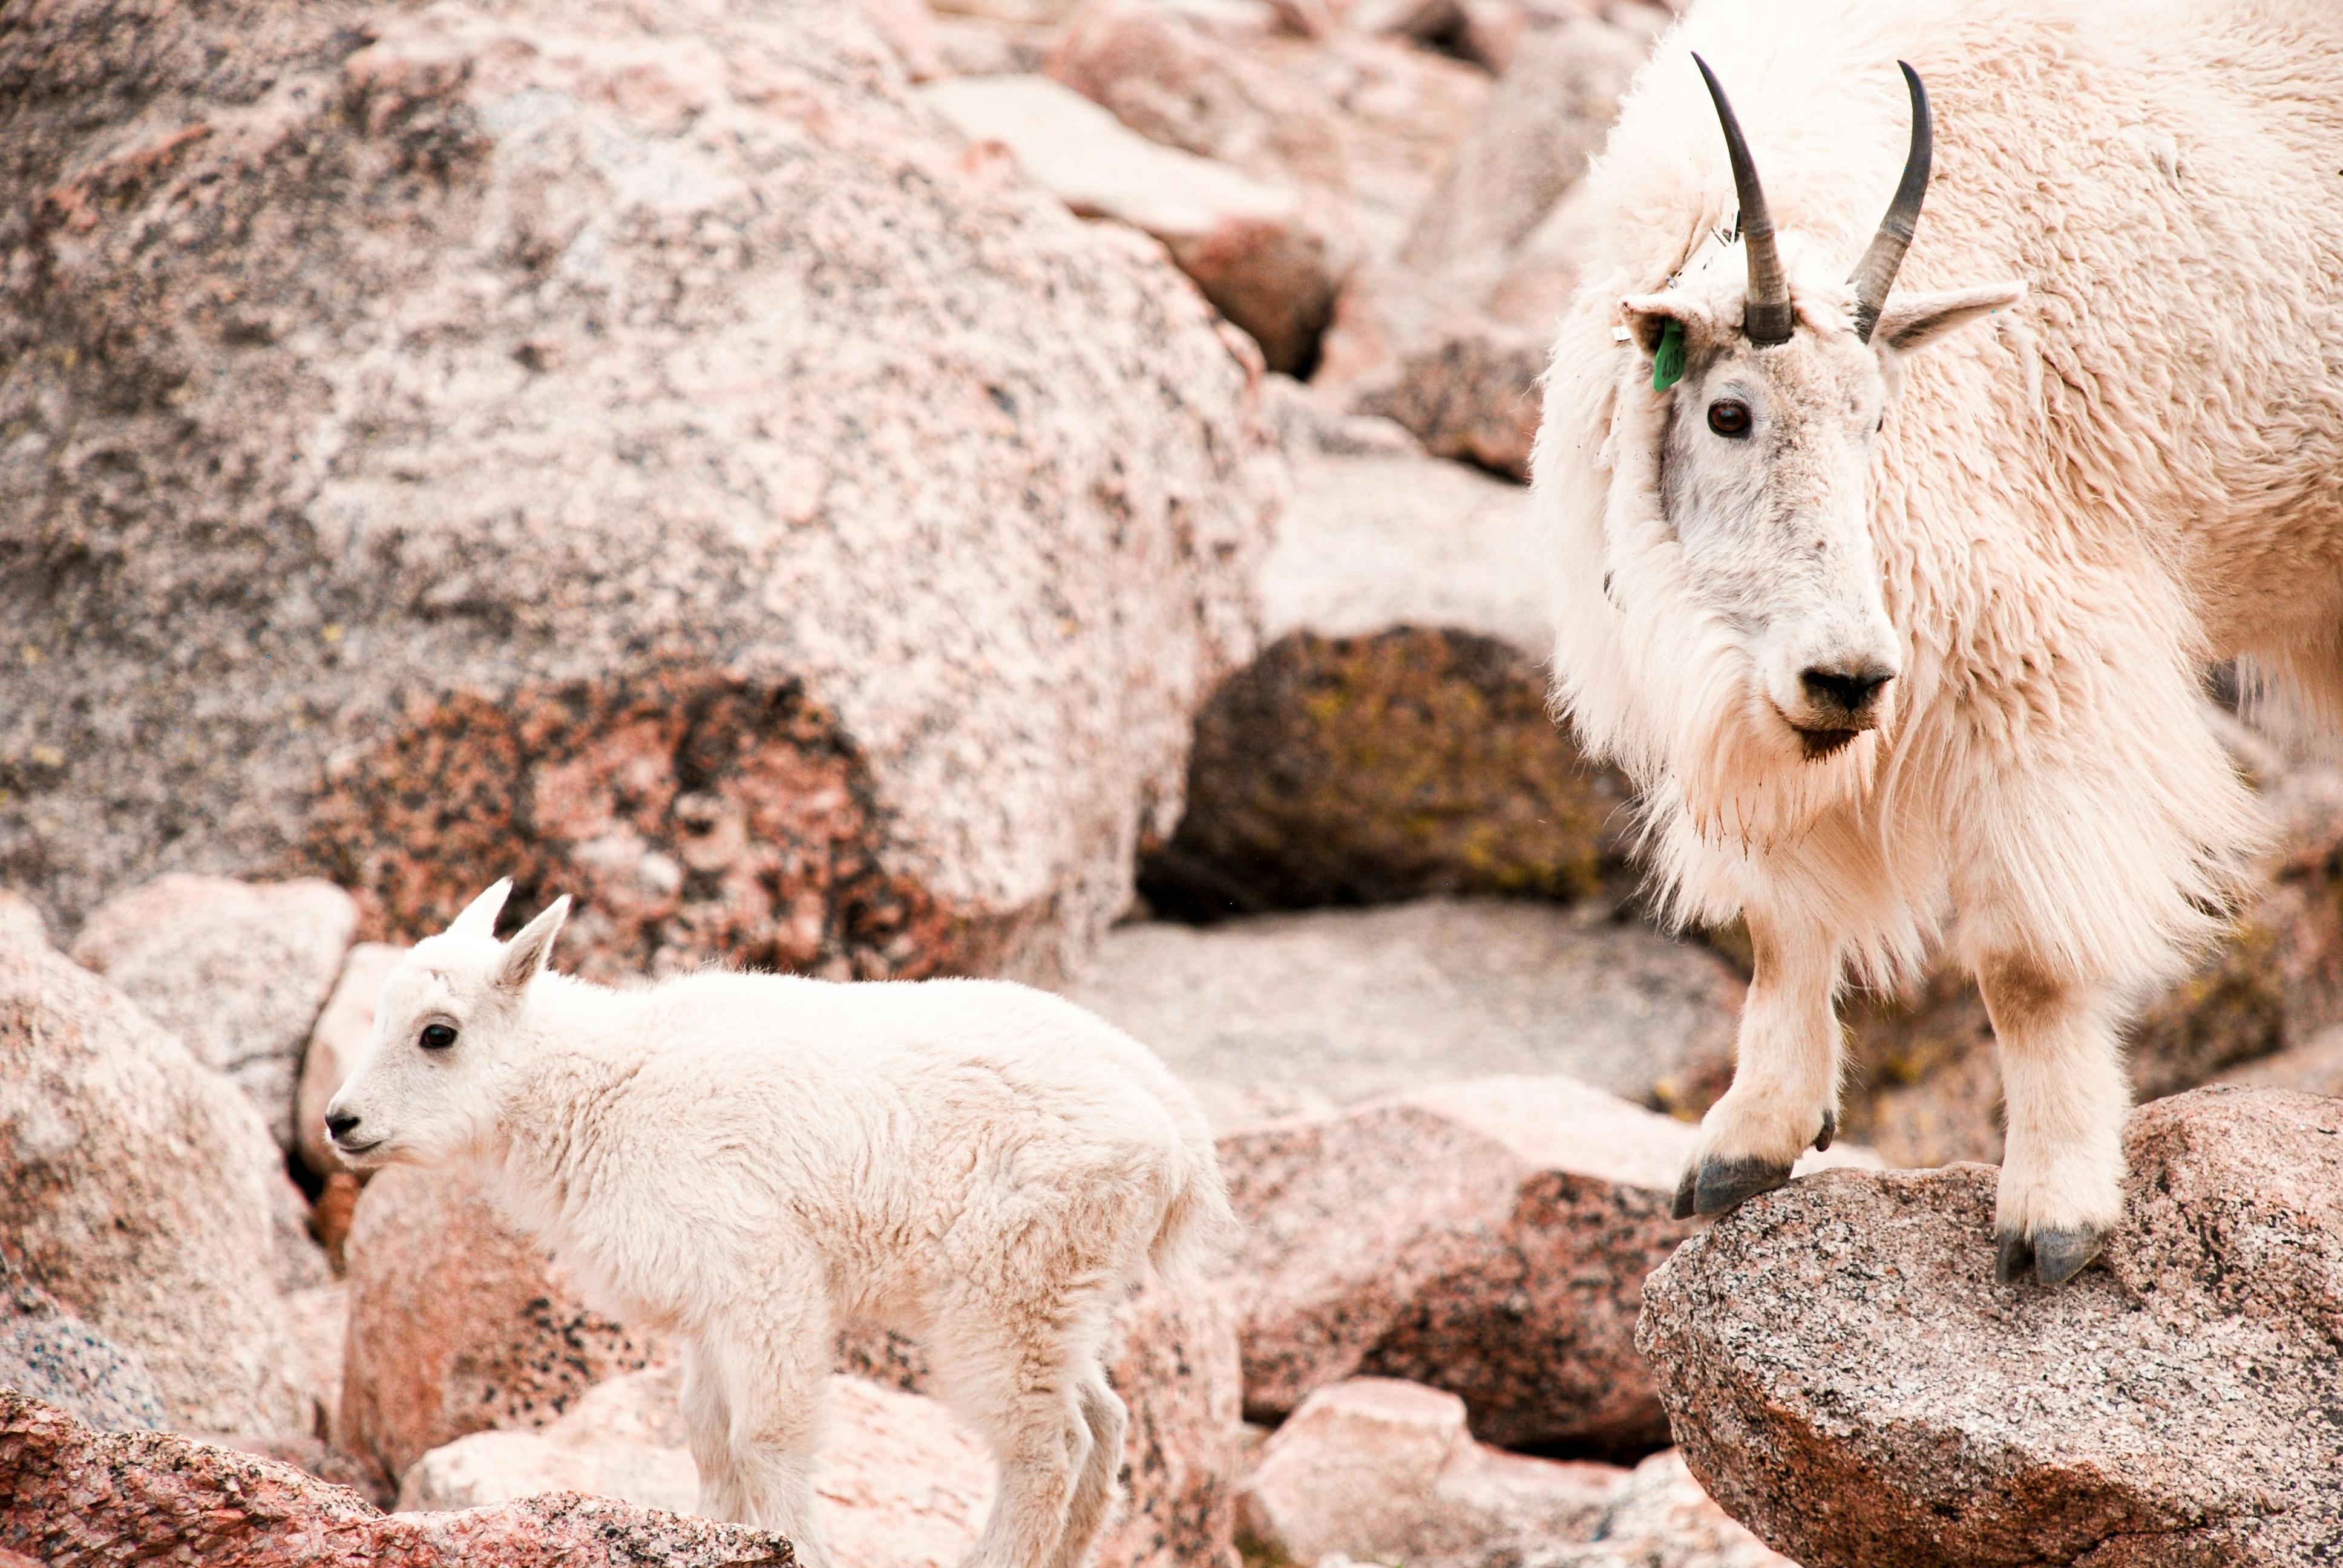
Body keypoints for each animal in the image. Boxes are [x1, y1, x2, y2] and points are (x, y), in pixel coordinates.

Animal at [324, 881, 1232, 1568]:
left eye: (438, 1033)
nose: (340, 1122)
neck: (597, 1091)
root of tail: (1180, 1133)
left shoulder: (764, 1276)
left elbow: (765, 1437)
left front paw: (797, 1547)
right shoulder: (705, 1308)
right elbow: (707, 1437)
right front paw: (714, 1533)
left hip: (1004, 1292)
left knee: (1049, 1449)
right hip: (1061, 1292)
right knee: (1106, 1422)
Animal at [1534, 0, 2343, 1284]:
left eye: (1877, 419)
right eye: (1728, 412)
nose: (1849, 679)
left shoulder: (2038, 657)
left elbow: (2024, 960)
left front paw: (2055, 1215)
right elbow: (1775, 926)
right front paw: (1745, 1142)